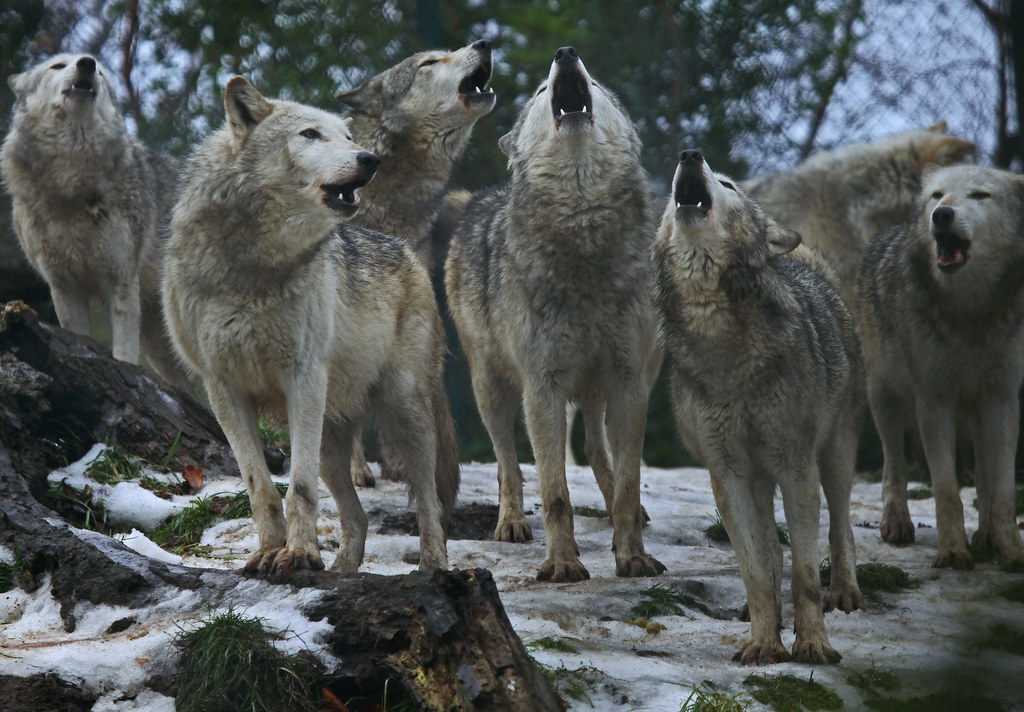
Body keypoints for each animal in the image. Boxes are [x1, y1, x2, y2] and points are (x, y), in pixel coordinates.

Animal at [0, 54, 190, 389]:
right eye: (57, 66)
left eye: (100, 70)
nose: (87, 63)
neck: (71, 183)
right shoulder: (63, 284)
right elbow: (78, 336)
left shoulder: (121, 279)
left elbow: (124, 352)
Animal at [448, 47, 663, 585]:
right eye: (544, 91)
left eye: (597, 84)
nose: (566, 54)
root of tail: (480, 197)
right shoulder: (541, 387)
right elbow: (555, 492)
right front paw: (563, 563)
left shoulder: (629, 381)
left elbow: (628, 483)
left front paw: (633, 556)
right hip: (492, 388)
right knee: (507, 463)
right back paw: (510, 524)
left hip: (605, 386)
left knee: (596, 451)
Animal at [655, 147, 864, 663]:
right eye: (670, 189)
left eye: (729, 184)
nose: (689, 153)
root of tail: (806, 263)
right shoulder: (727, 471)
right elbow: (754, 569)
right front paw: (764, 644)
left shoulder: (795, 465)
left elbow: (805, 573)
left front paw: (813, 645)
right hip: (758, 476)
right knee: (772, 550)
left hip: (835, 453)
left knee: (842, 526)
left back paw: (845, 593)